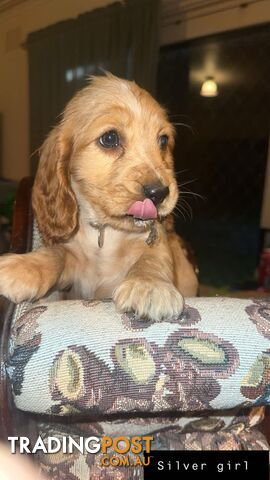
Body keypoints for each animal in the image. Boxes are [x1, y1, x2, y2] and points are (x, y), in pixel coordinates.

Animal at [0, 74, 198, 322]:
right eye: (110, 138)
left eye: (163, 141)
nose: (159, 193)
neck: (106, 232)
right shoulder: (73, 266)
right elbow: (57, 253)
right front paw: (24, 266)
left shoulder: (156, 238)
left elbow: (153, 256)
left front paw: (149, 285)